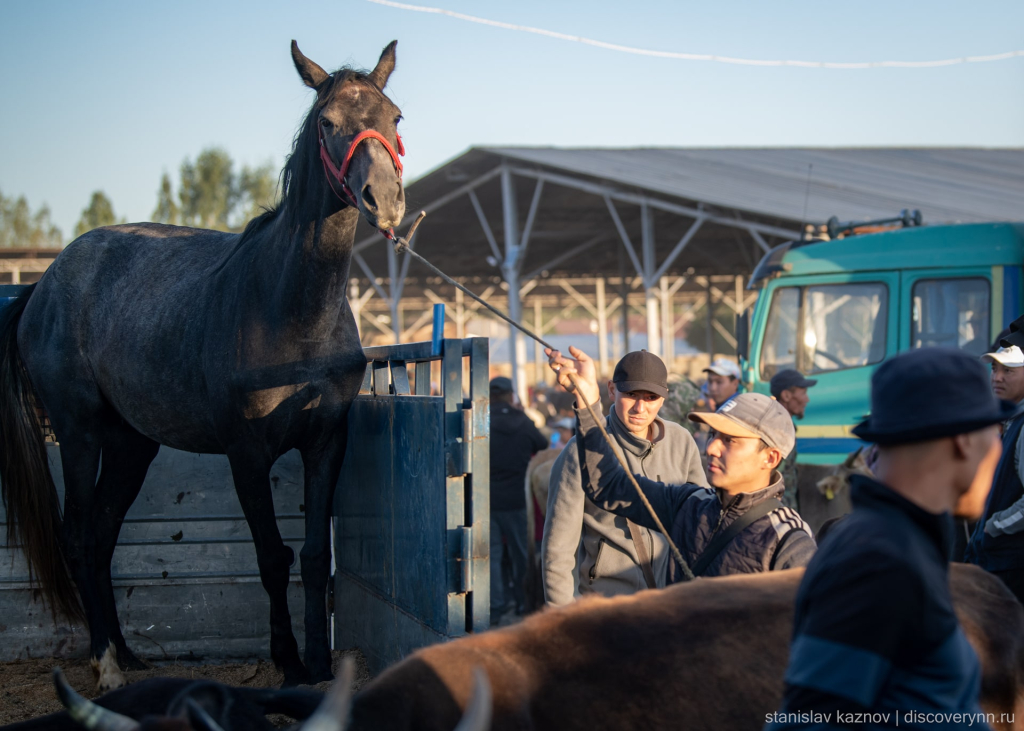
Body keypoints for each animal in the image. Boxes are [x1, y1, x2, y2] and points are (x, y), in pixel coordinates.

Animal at [0, 39, 405, 688]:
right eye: (327, 122)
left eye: (394, 115)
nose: (384, 201)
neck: (289, 308)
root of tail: (43, 284)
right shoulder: (246, 453)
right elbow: (272, 558)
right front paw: (289, 662)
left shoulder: (326, 442)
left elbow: (315, 557)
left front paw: (319, 664)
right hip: (79, 431)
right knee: (80, 536)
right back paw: (107, 665)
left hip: (130, 443)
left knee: (104, 534)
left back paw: (127, 653)